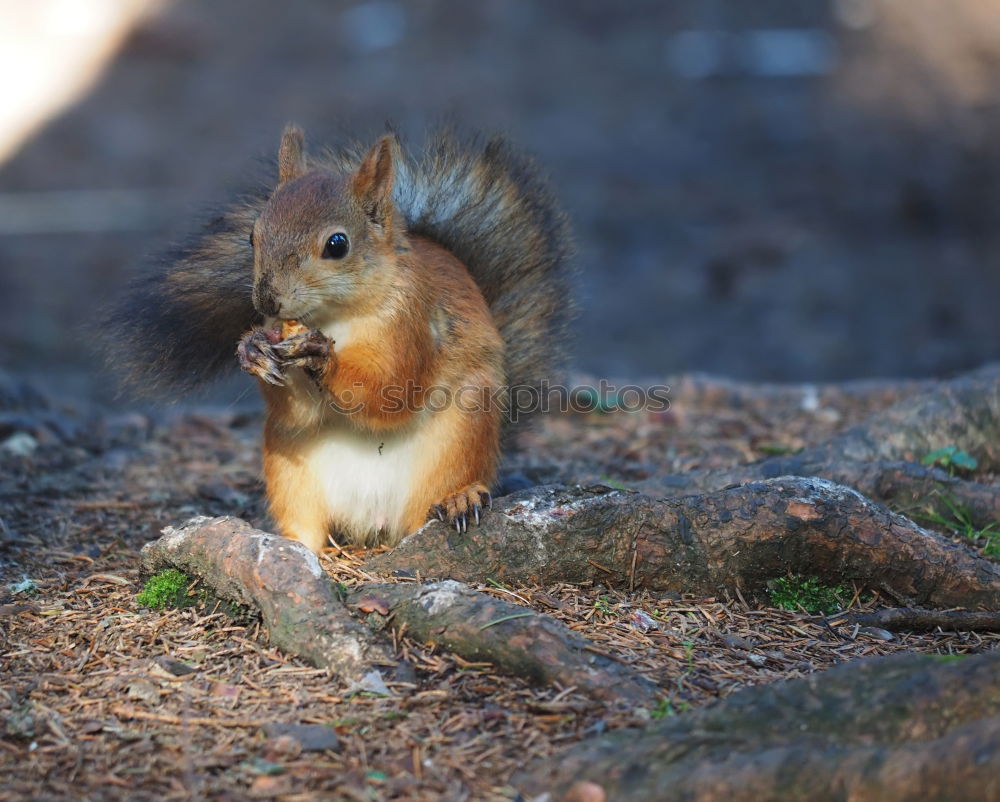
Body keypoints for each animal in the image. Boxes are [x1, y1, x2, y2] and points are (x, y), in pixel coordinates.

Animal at [108, 125, 572, 552]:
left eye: (337, 244)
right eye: (252, 236)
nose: (267, 298)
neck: (335, 317)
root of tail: (374, 523)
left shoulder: (412, 324)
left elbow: (391, 391)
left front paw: (320, 357)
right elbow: (299, 407)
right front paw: (252, 348)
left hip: (460, 435)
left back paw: (460, 498)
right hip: (291, 468)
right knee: (306, 522)